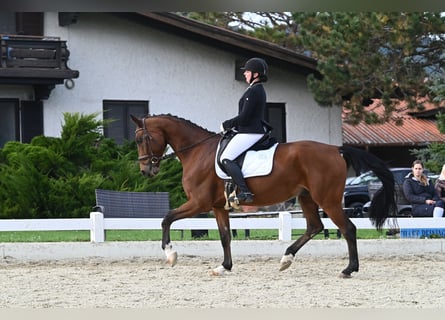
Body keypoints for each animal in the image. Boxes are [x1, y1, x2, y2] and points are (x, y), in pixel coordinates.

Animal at [129, 114, 396, 278]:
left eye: (142, 138)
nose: (146, 170)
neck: (198, 151)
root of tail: (335, 149)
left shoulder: (199, 203)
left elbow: (167, 218)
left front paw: (170, 255)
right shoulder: (218, 207)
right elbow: (225, 237)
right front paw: (223, 267)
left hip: (327, 200)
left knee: (348, 228)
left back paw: (348, 269)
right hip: (306, 197)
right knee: (314, 226)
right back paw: (286, 259)